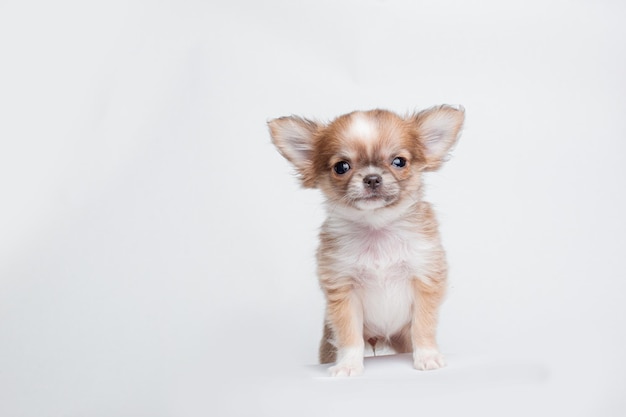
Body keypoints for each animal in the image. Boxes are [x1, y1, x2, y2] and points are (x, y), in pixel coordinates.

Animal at [266, 103, 460, 374]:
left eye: (399, 162)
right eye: (341, 167)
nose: (372, 178)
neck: (376, 229)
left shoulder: (425, 279)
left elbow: (423, 326)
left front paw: (427, 357)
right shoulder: (343, 291)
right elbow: (349, 335)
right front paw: (348, 365)